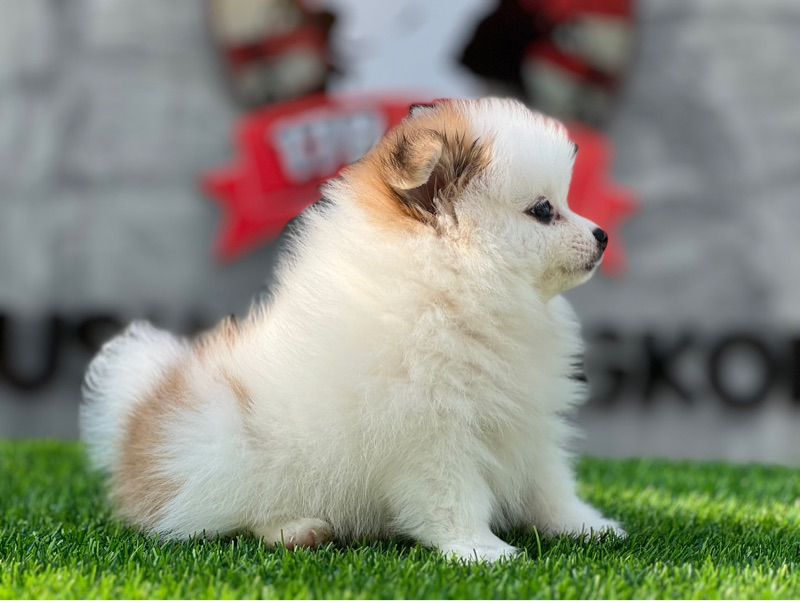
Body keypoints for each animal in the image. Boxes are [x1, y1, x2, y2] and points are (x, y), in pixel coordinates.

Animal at [81, 97, 624, 562]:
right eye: (543, 210)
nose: (602, 235)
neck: (455, 284)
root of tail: (142, 408)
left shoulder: (528, 425)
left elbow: (549, 487)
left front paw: (587, 526)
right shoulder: (431, 434)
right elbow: (454, 497)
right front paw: (482, 550)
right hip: (224, 454)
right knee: (228, 517)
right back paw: (296, 529)